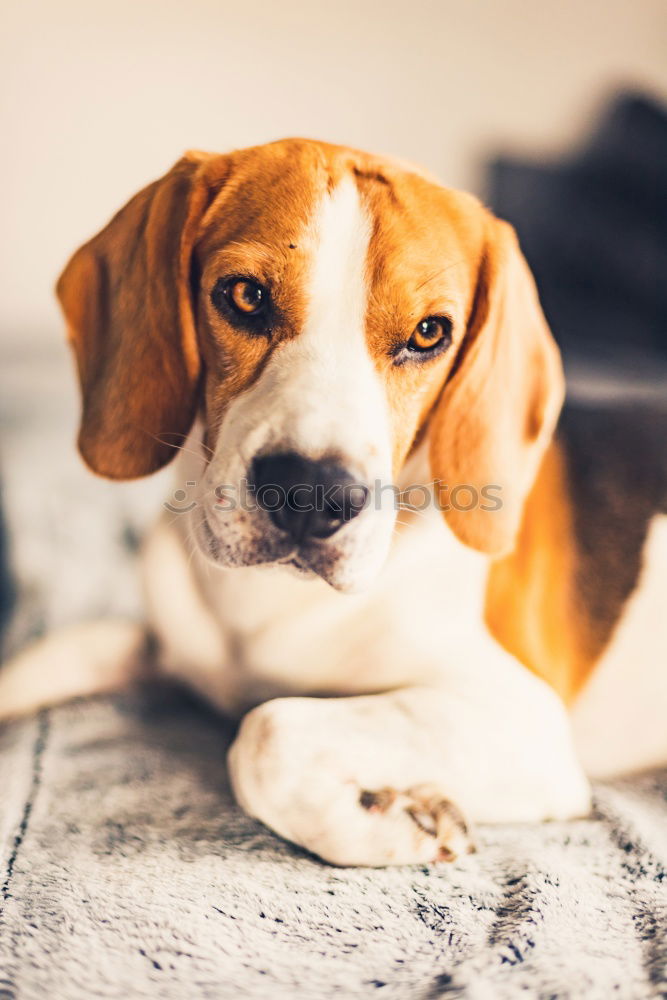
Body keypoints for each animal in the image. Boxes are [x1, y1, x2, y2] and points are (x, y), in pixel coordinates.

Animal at [1, 141, 667, 868]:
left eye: (429, 333)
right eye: (244, 295)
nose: (311, 494)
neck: (263, 608)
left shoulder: (522, 724)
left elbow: (264, 731)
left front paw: (400, 819)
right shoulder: (161, 645)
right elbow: (58, 652)